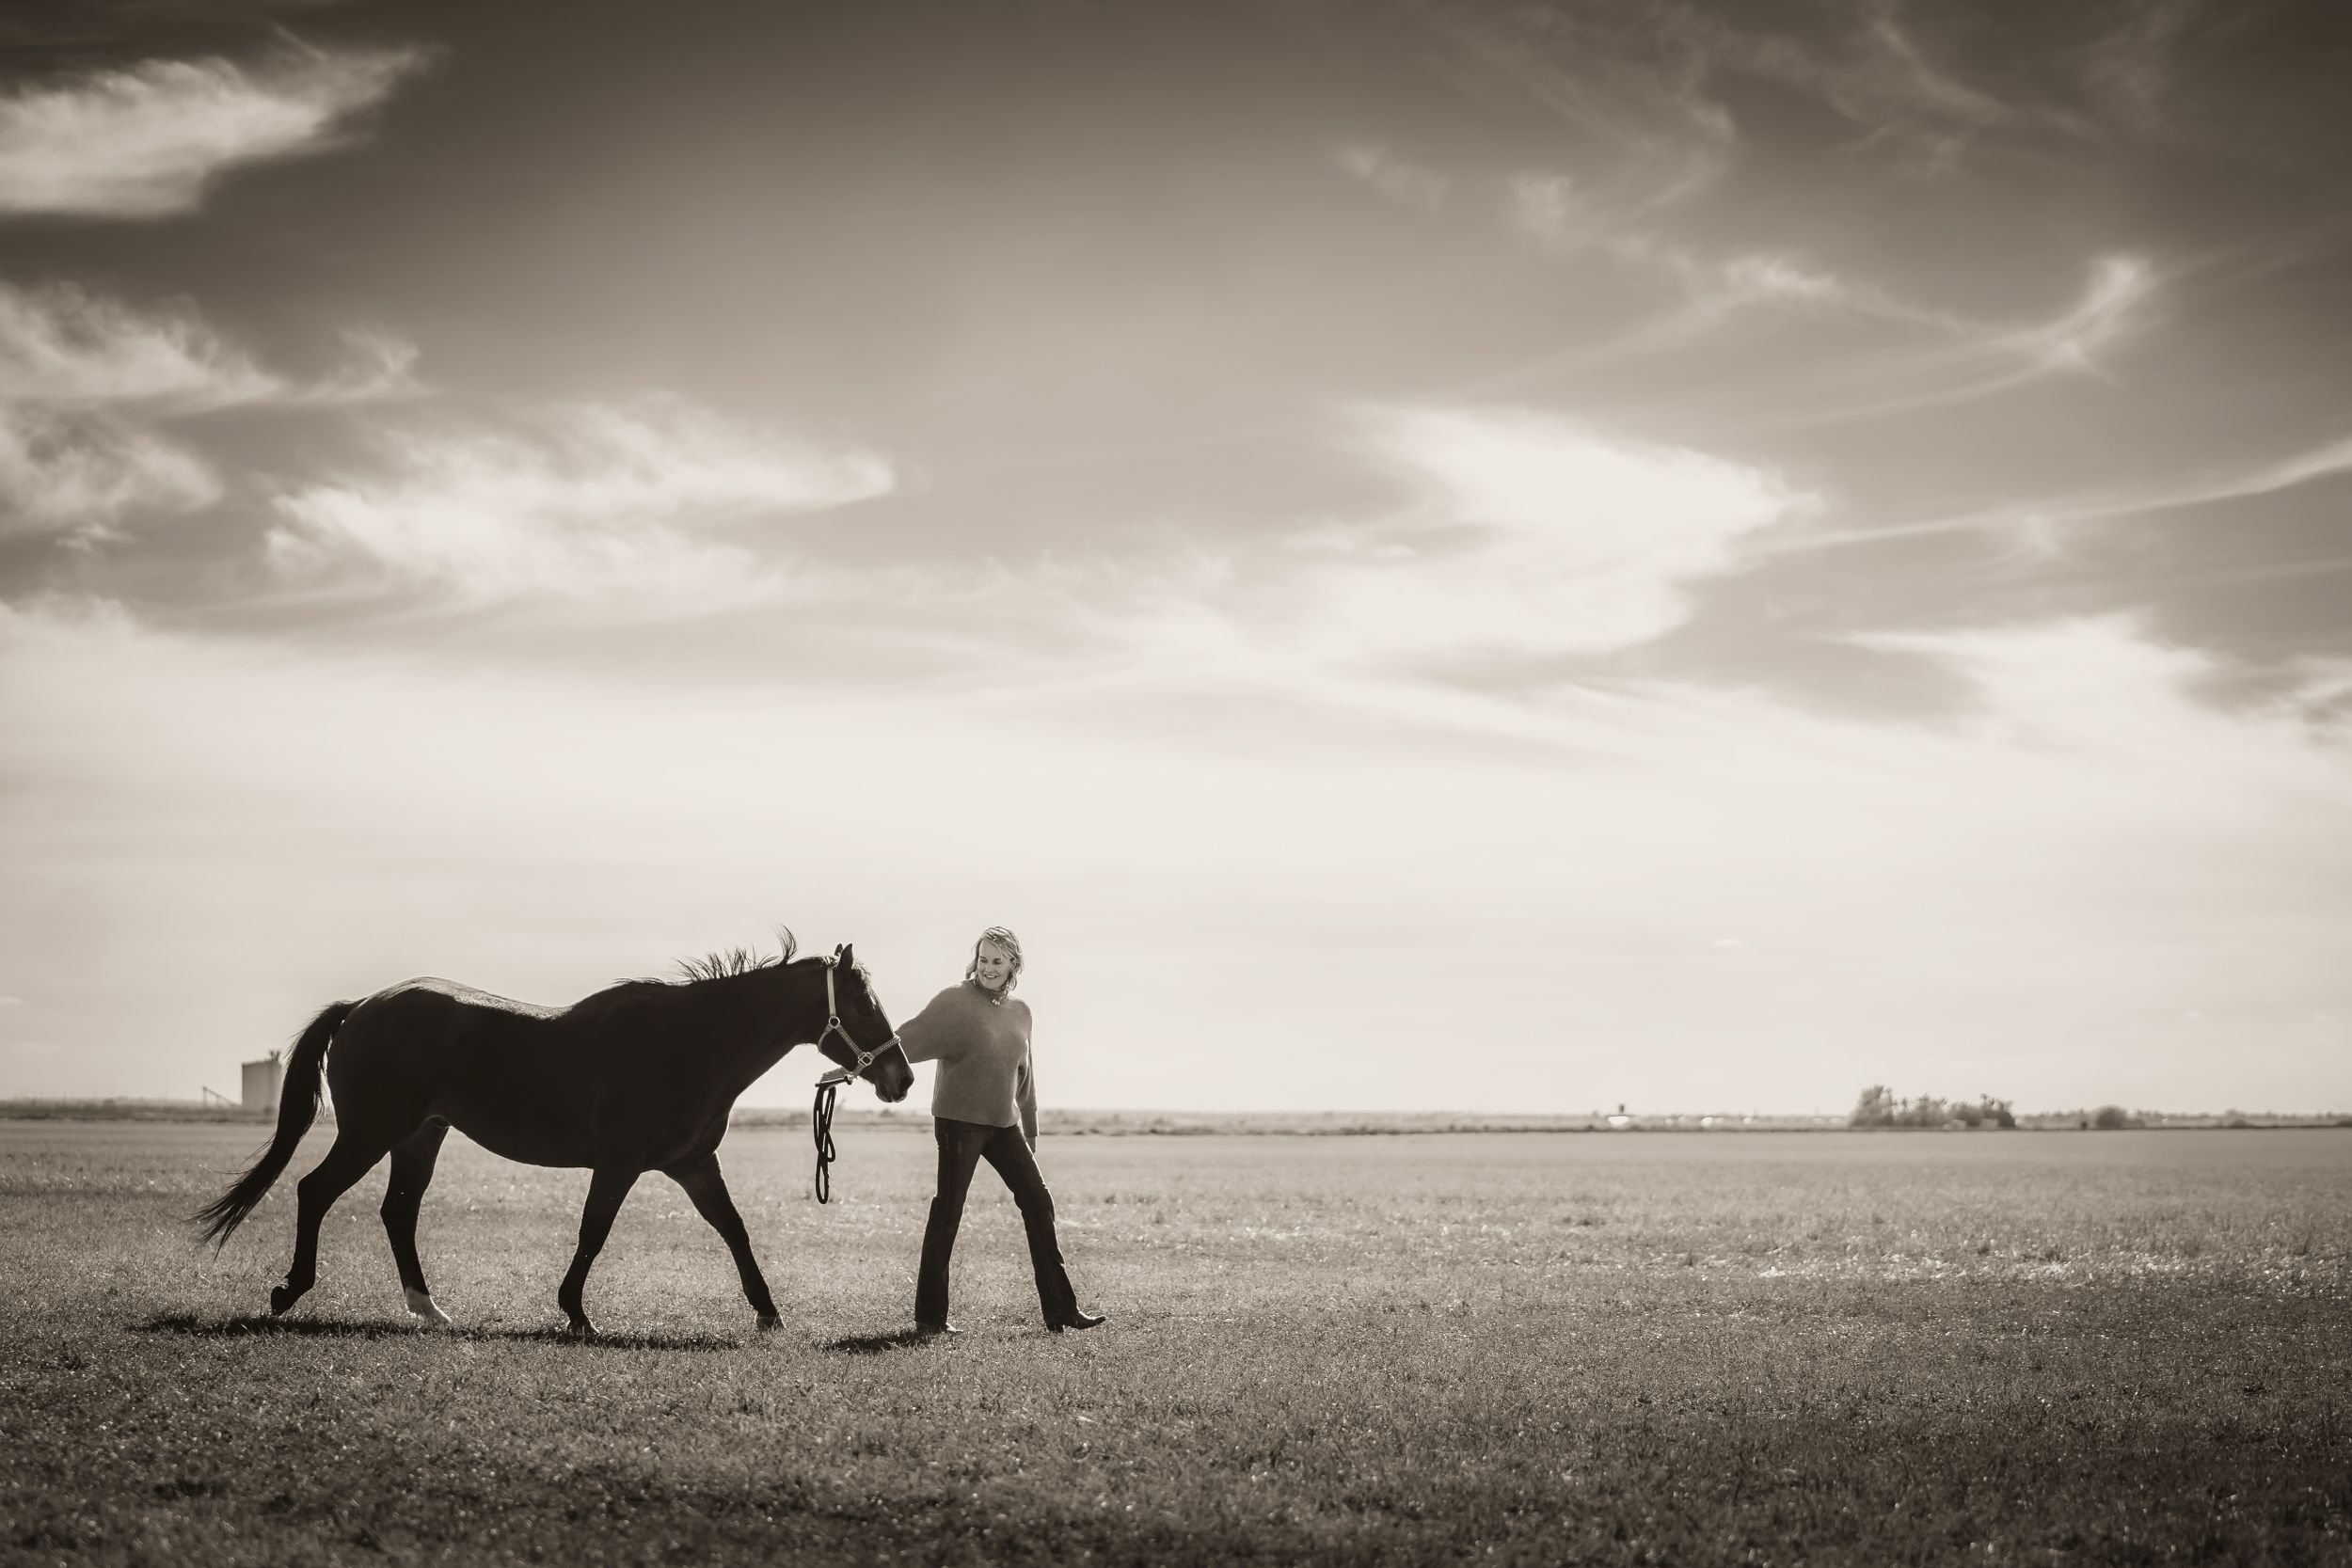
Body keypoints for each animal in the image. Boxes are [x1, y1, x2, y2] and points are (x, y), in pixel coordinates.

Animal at [193, 935, 915, 1336]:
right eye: (860, 1004)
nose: (901, 1077)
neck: (688, 1043)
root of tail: (363, 1005)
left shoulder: (692, 1165)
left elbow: (733, 1230)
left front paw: (768, 1313)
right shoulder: (620, 1163)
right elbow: (594, 1232)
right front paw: (575, 1312)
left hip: (420, 1137)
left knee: (397, 1212)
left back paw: (429, 1309)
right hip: (373, 1131)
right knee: (315, 1192)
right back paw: (289, 1290)